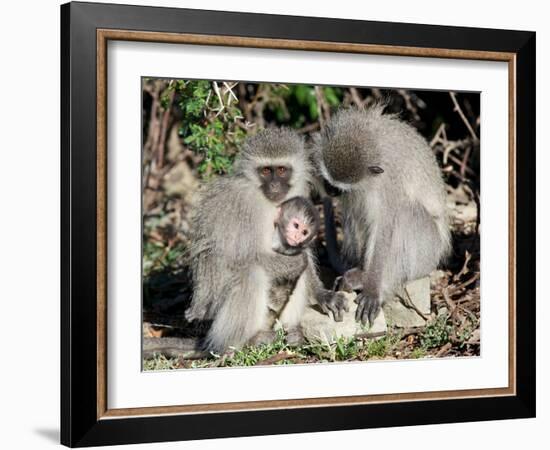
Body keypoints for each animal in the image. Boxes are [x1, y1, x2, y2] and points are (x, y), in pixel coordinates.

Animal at [187, 127, 350, 356]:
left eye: (281, 170)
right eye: (265, 171)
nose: (274, 185)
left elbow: (303, 253)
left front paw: (323, 295)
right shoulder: (245, 206)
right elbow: (234, 258)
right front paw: (296, 262)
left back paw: (292, 334)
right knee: (252, 274)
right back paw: (243, 343)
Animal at [314, 104, 452, 324]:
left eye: (337, 186)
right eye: (328, 181)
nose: (330, 191)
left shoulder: (389, 183)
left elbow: (384, 228)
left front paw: (372, 290)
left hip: (428, 254)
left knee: (405, 213)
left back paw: (369, 280)